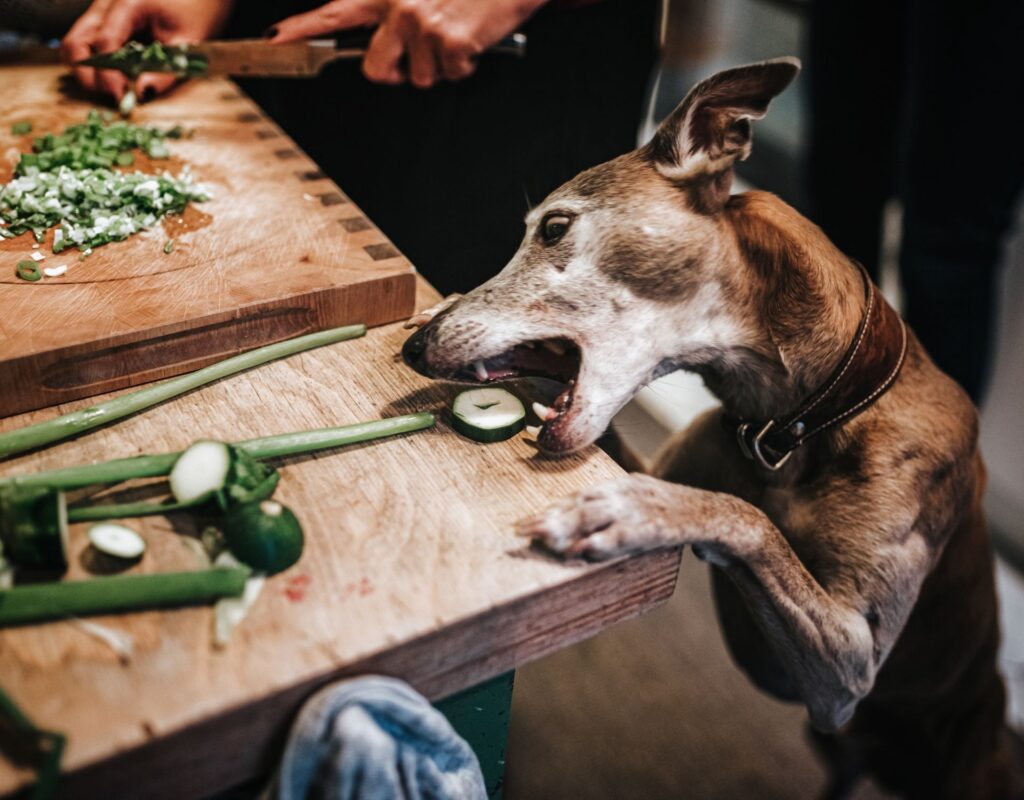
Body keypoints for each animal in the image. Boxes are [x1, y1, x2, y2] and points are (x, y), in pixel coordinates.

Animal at [397, 57, 1015, 798]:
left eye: (553, 227)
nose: (416, 347)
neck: (798, 424)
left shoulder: (851, 665)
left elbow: (746, 518)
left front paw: (631, 514)